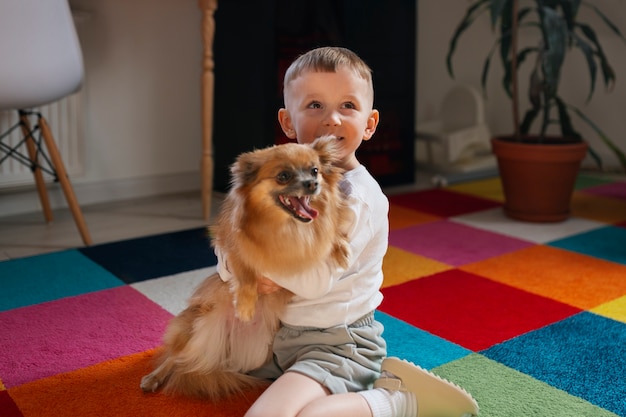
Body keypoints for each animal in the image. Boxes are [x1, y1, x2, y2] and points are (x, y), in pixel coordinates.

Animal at [140, 136, 352, 400]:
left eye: (315, 170)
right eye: (283, 176)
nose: (313, 184)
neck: (289, 229)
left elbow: (332, 233)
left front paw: (340, 249)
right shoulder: (233, 246)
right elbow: (245, 269)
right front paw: (245, 305)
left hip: (256, 351)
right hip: (202, 327)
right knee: (176, 358)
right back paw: (153, 378)